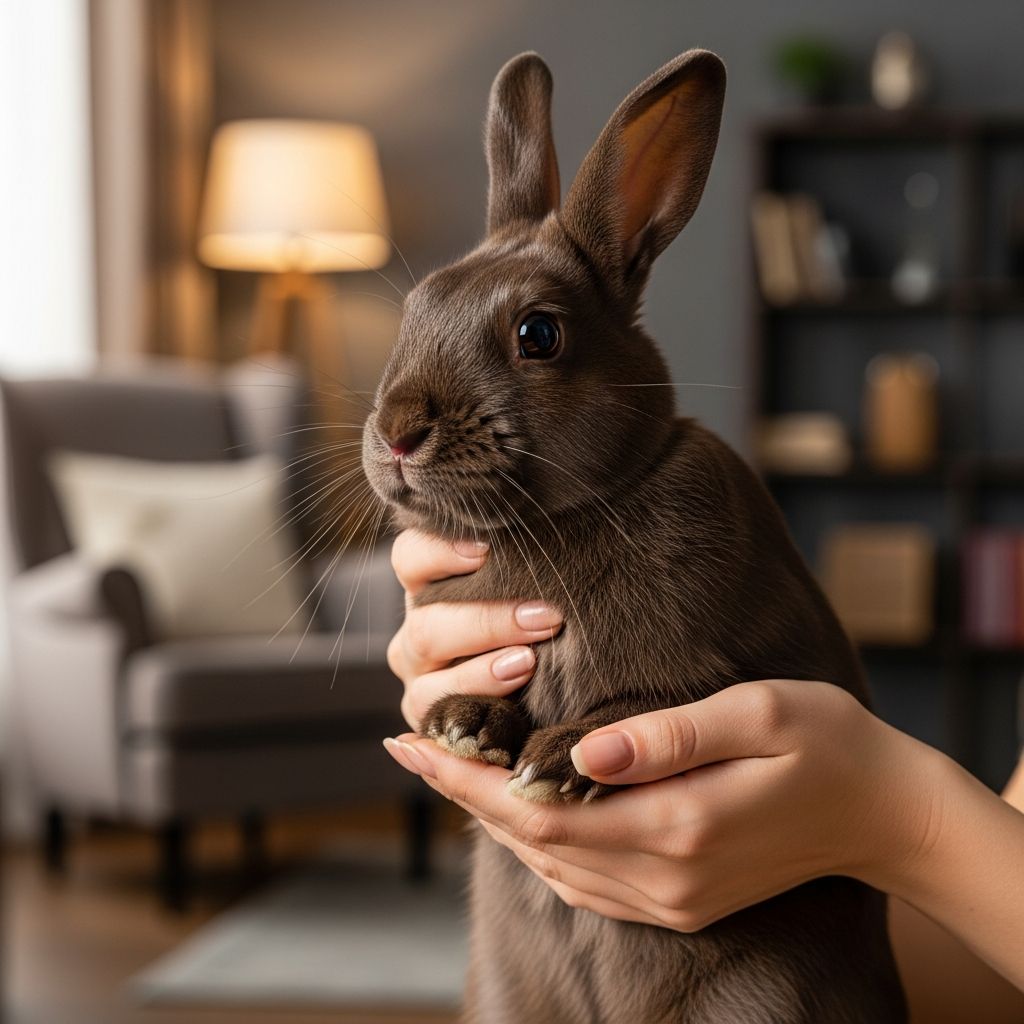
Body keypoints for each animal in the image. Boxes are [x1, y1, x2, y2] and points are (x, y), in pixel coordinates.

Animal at [362, 48, 907, 1024]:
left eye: (539, 333)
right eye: (415, 308)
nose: (397, 432)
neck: (565, 516)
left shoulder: (738, 662)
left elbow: (654, 702)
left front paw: (560, 758)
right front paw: (463, 723)